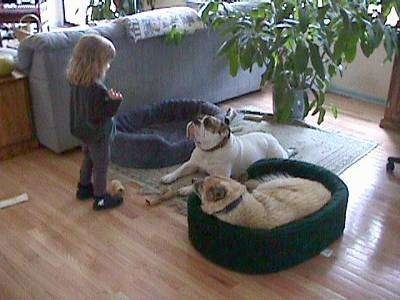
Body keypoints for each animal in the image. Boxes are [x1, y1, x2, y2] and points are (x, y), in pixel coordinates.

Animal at [161, 114, 290, 195]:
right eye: (199, 117)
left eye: (207, 123)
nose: (195, 120)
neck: (209, 151)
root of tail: (273, 138)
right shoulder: (192, 164)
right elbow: (180, 169)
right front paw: (169, 177)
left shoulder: (220, 175)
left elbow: (205, 181)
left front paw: (186, 189)